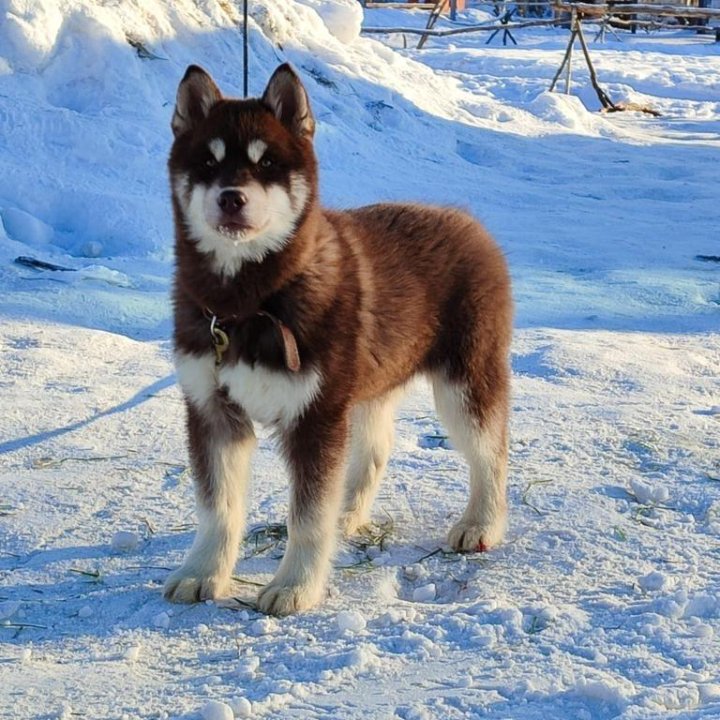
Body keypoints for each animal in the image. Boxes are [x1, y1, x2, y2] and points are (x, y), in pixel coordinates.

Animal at [165, 63, 512, 612]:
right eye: (207, 161)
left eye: (268, 163)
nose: (231, 198)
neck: (248, 303)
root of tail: (467, 221)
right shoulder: (211, 410)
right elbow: (218, 508)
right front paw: (202, 572)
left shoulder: (315, 415)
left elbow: (307, 516)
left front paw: (295, 586)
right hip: (368, 383)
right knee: (373, 451)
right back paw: (347, 515)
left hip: (465, 380)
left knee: (490, 450)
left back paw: (481, 523)